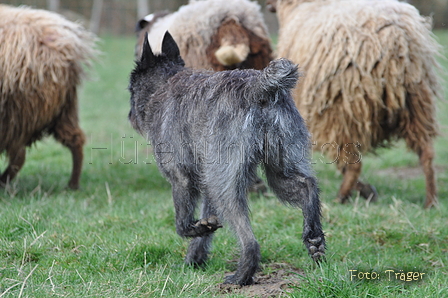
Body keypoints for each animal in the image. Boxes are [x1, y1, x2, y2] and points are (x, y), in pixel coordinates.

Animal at [128, 31, 324, 286]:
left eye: (131, 88)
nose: (130, 115)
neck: (165, 84)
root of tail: (258, 88)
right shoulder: (206, 182)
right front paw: (194, 257)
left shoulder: (181, 178)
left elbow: (182, 223)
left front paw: (196, 231)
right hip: (279, 171)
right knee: (307, 185)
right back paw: (314, 239)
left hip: (225, 186)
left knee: (249, 240)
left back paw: (241, 276)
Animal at [268, 0, 442, 208]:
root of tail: (394, 38)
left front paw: (365, 191)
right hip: (417, 103)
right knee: (427, 154)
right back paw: (430, 201)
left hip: (342, 111)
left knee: (352, 163)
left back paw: (342, 196)